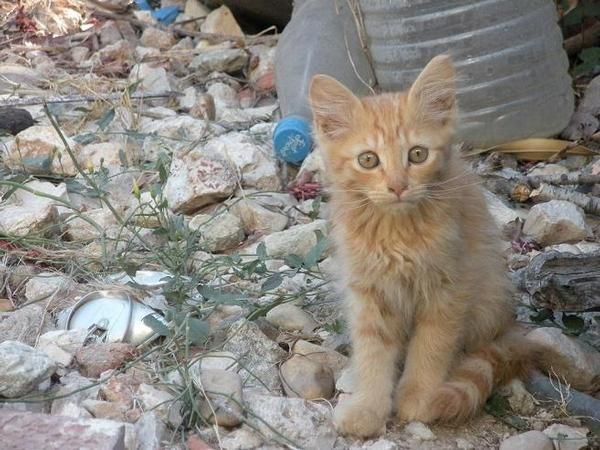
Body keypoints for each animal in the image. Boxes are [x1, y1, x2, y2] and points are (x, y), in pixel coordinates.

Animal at [312, 55, 552, 436]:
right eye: (368, 160)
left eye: (417, 154)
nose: (397, 186)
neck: (396, 232)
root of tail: (511, 325)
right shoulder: (368, 291)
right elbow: (372, 352)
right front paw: (368, 408)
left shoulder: (450, 288)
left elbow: (431, 347)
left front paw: (419, 398)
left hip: (485, 300)